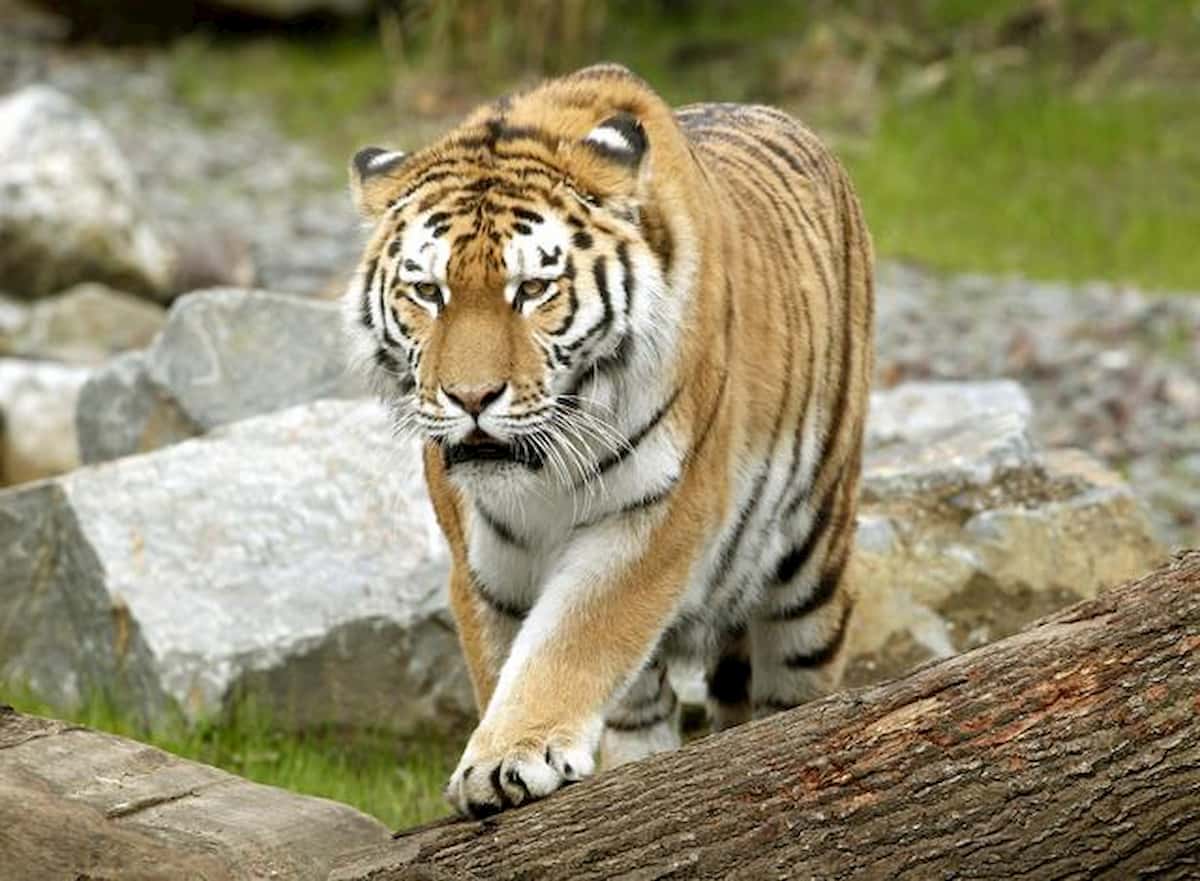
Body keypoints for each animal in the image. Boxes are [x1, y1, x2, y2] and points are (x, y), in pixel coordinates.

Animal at [344, 63, 873, 818]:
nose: (471, 399)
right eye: (428, 291)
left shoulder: (655, 517)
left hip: (812, 561)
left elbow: (573, 639)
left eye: (533, 288)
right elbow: (507, 660)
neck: (538, 477)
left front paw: (506, 757)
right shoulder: (482, 558)